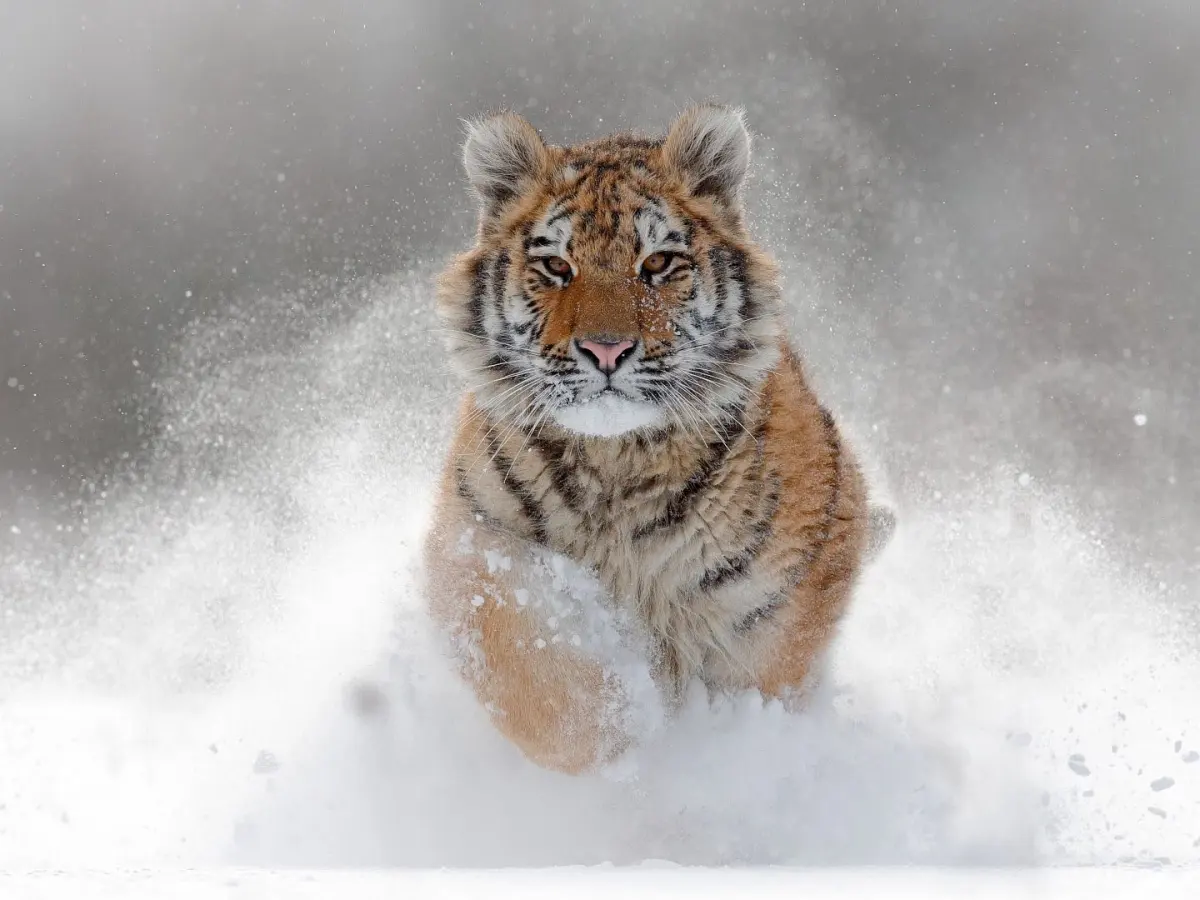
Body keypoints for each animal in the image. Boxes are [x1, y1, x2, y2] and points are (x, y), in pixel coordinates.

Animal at [422, 104, 895, 774]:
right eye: (557, 266)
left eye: (656, 264)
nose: (606, 350)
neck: (616, 463)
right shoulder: (473, 545)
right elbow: (534, 673)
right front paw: (619, 733)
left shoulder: (778, 603)